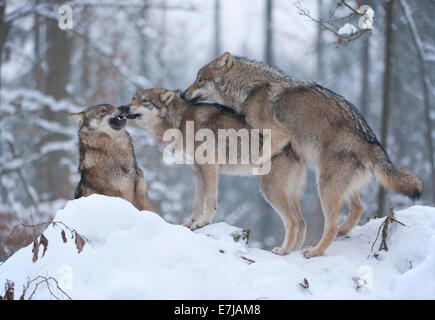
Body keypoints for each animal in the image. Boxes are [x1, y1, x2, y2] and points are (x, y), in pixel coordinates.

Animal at [114, 89, 308, 254]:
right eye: (133, 98)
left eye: (144, 101)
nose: (123, 107)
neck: (180, 121)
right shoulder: (197, 171)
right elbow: (196, 203)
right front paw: (190, 224)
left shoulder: (209, 166)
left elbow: (209, 200)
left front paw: (203, 222)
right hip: (290, 194)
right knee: (302, 222)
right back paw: (295, 252)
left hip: (269, 190)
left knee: (292, 222)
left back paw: (283, 251)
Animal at [182, 52, 424, 258]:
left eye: (200, 80)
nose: (183, 93)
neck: (250, 89)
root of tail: (373, 144)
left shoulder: (279, 135)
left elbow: (266, 151)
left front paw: (259, 163)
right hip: (336, 185)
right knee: (358, 208)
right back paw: (342, 232)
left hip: (324, 186)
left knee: (330, 224)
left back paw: (315, 251)